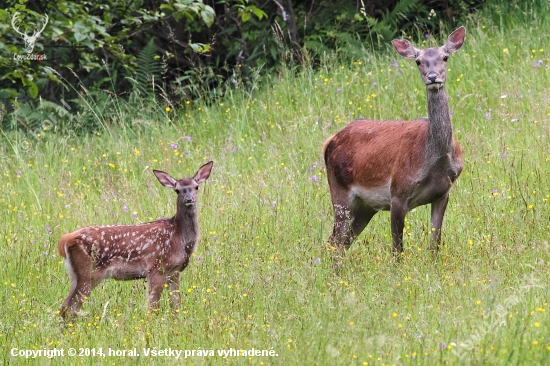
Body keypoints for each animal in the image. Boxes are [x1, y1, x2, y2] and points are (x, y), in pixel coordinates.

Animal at [57, 162, 213, 318]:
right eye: (177, 190)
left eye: (196, 187)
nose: (189, 199)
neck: (178, 236)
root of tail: (65, 239)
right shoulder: (156, 268)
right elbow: (152, 307)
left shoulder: (174, 272)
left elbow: (176, 306)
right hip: (89, 272)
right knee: (68, 308)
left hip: (76, 275)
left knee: (66, 308)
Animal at [324, 27, 466, 254]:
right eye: (418, 61)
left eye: (445, 57)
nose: (432, 77)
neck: (436, 160)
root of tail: (328, 142)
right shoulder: (398, 192)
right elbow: (397, 249)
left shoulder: (443, 192)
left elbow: (435, 244)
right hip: (339, 190)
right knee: (335, 240)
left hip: (365, 207)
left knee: (339, 241)